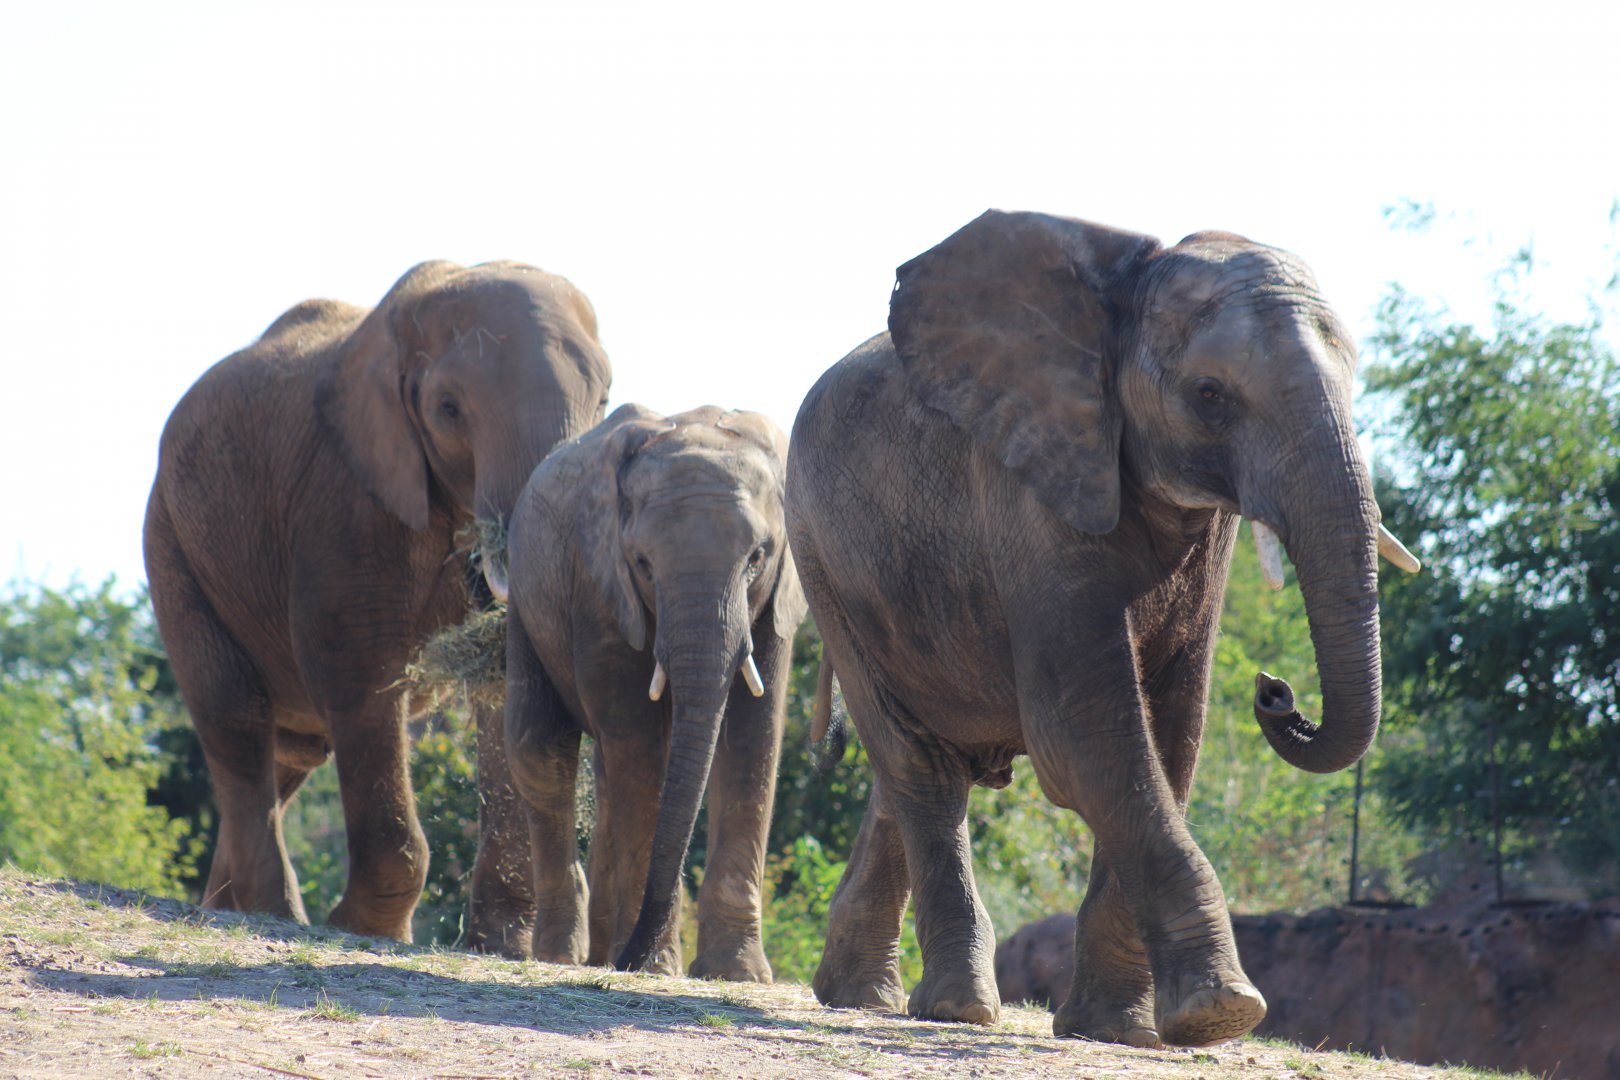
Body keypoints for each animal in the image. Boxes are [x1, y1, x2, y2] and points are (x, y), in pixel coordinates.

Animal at [144, 260, 612, 948]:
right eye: (448, 409)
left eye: (604, 401)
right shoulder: (343, 500)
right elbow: (360, 675)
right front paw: (364, 931)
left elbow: (501, 688)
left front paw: (500, 946)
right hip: (174, 543)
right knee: (233, 713)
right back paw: (271, 916)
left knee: (290, 750)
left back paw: (224, 907)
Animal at [501, 404, 805, 981]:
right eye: (642, 564)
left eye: (757, 557)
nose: (630, 961)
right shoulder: (597, 588)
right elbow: (640, 748)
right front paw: (656, 968)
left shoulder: (779, 598)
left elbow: (753, 738)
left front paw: (735, 973)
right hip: (526, 604)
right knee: (540, 749)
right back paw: (568, 955)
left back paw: (600, 954)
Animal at [785, 211, 1421, 1047]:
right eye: (1209, 394)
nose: (1277, 691)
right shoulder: (1032, 485)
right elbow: (1085, 736)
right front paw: (1222, 1012)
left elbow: (1171, 734)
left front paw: (1116, 1030)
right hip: (820, 555)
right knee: (919, 764)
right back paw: (957, 1008)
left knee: (912, 764)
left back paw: (859, 997)